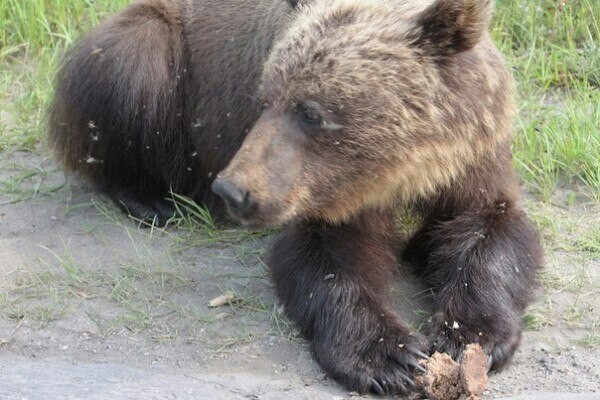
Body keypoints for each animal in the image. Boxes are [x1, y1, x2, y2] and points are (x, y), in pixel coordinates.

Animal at [48, 0, 544, 396]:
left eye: (310, 112)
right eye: (264, 98)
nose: (233, 189)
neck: (399, 170)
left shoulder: (472, 157)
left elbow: (490, 231)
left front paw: (468, 335)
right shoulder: (321, 193)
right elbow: (324, 258)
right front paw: (390, 357)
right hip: (168, 62)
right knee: (129, 74)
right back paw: (151, 200)